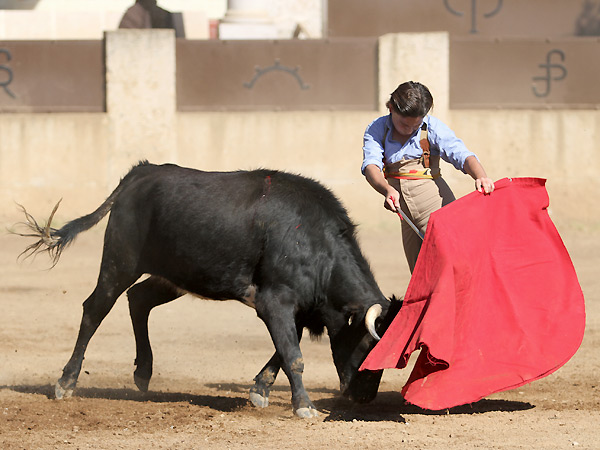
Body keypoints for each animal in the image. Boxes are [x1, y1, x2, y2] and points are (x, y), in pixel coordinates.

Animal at [15, 162, 398, 418]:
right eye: (368, 346)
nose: (365, 398)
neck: (317, 242)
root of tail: (142, 172)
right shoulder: (276, 302)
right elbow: (294, 355)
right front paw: (304, 406)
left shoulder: (299, 308)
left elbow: (282, 351)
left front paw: (259, 390)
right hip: (120, 261)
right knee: (95, 309)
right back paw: (66, 383)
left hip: (174, 275)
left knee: (138, 300)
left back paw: (143, 373)